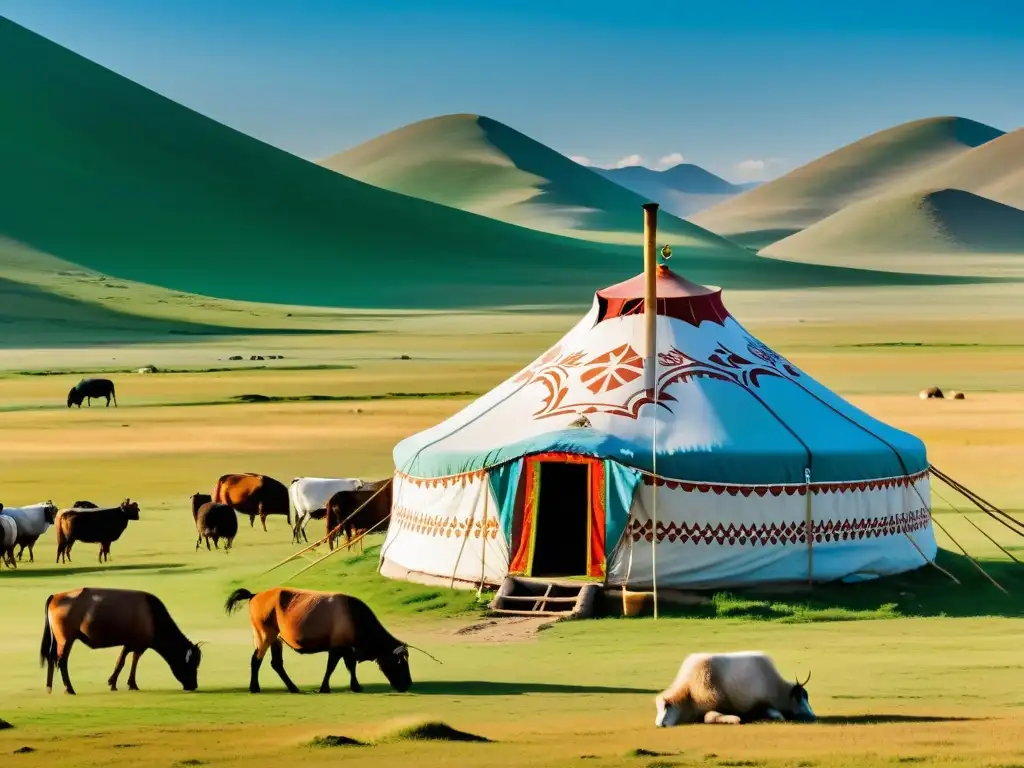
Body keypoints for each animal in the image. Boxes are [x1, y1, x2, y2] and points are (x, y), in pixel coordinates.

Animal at [39, 589, 201, 696]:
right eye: (191, 665)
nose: (194, 685)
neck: (154, 618)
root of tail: (55, 596)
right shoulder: (139, 645)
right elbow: (130, 661)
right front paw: (128, 683)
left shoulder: (130, 643)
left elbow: (123, 661)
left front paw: (117, 683)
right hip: (66, 639)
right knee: (62, 661)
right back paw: (69, 688)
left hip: (58, 640)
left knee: (52, 658)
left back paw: (49, 687)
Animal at [226, 589, 413, 696]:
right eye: (400, 662)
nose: (408, 683)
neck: (356, 617)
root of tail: (255, 595)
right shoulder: (337, 648)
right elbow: (332, 667)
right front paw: (325, 688)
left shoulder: (346, 648)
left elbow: (350, 666)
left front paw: (355, 686)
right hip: (264, 635)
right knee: (256, 659)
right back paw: (254, 687)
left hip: (276, 639)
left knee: (276, 663)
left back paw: (293, 688)